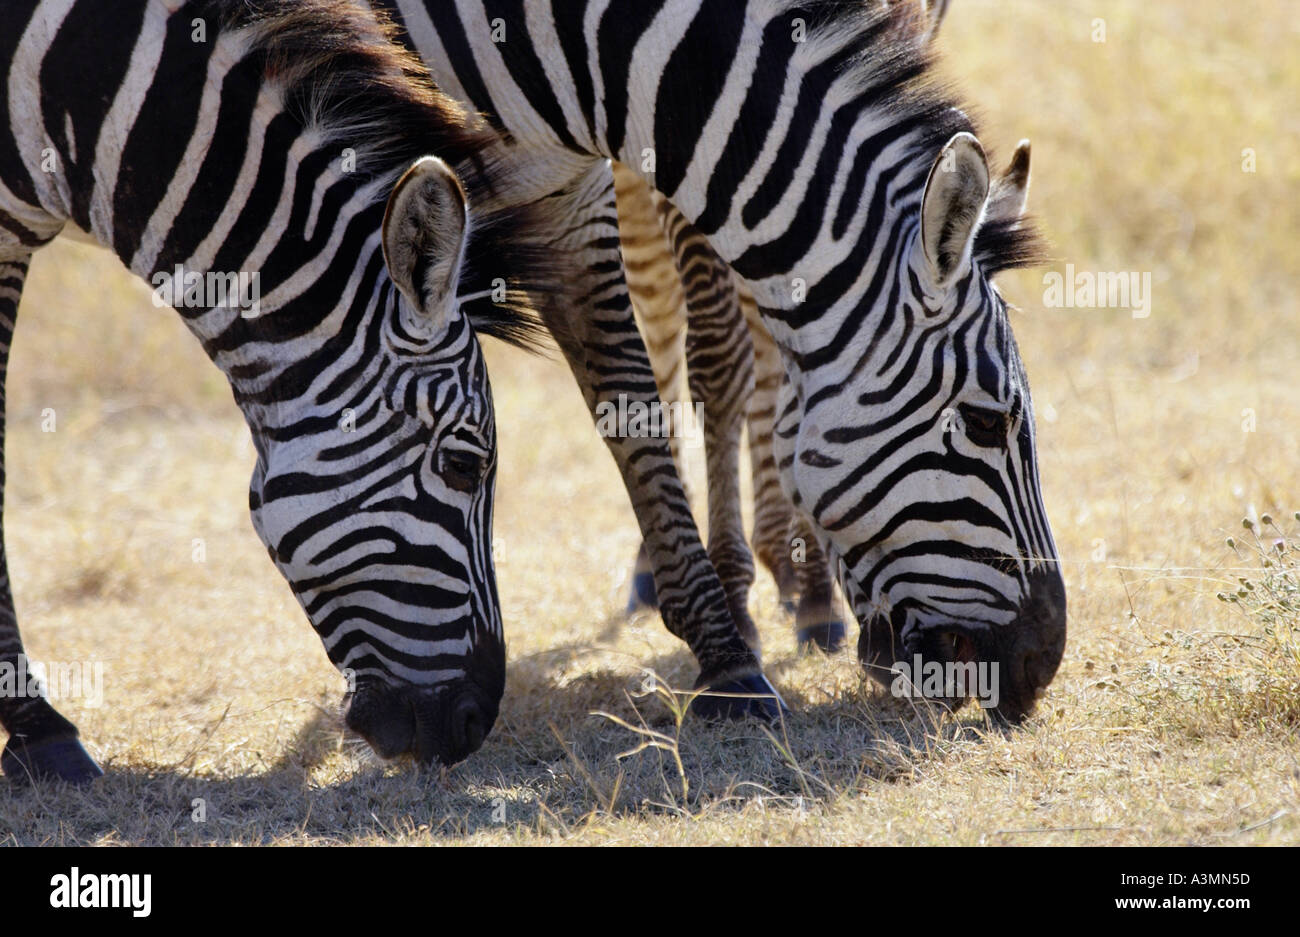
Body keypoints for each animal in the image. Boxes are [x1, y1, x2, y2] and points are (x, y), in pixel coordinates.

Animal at [385, 0, 1066, 719]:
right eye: (987, 424)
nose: (1040, 664)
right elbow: (714, 359)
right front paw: (737, 612)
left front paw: (792, 591)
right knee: (663, 323)